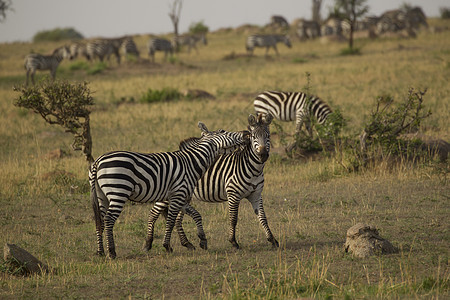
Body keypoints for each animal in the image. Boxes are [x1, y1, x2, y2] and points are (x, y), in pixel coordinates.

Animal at [88, 122, 250, 258]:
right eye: (223, 131)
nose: (246, 133)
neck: (192, 162)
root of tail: (97, 161)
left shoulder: (180, 195)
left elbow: (196, 215)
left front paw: (202, 240)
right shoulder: (178, 194)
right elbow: (171, 221)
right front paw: (167, 246)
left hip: (102, 196)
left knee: (100, 220)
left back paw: (100, 251)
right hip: (118, 191)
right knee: (109, 219)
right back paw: (111, 252)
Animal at [145, 113, 278, 250]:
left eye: (268, 136)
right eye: (253, 137)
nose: (263, 155)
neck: (253, 169)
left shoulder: (256, 195)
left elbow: (263, 217)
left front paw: (272, 240)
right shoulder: (233, 195)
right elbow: (233, 219)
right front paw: (233, 241)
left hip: (183, 196)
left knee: (176, 219)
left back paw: (187, 243)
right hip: (167, 194)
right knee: (153, 213)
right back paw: (149, 243)